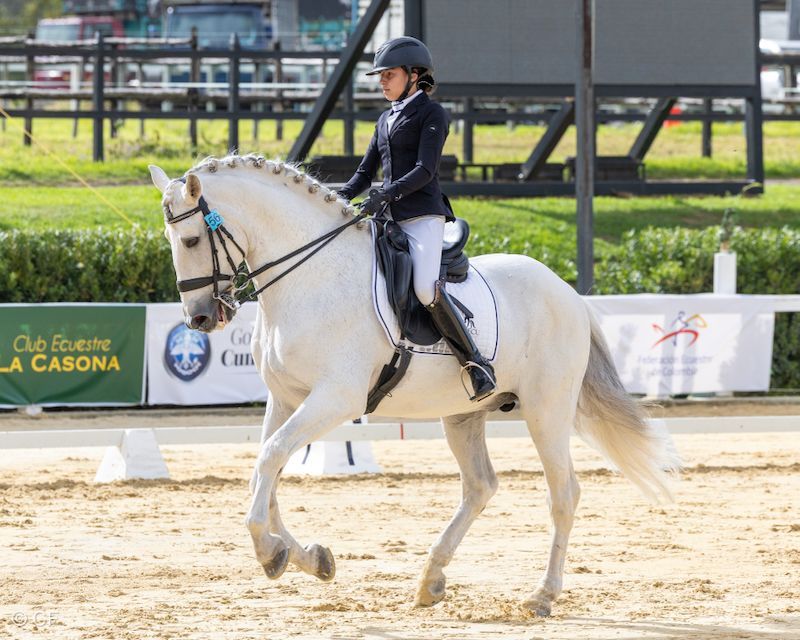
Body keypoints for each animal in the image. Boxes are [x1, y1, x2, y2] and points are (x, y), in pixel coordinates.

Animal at [148, 154, 680, 616]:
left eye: (191, 240)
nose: (199, 319)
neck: (310, 277)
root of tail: (569, 293)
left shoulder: (335, 398)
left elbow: (271, 460)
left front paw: (268, 551)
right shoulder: (286, 398)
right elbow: (268, 466)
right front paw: (310, 558)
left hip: (547, 410)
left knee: (563, 494)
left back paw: (542, 596)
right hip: (464, 414)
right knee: (480, 486)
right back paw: (431, 580)